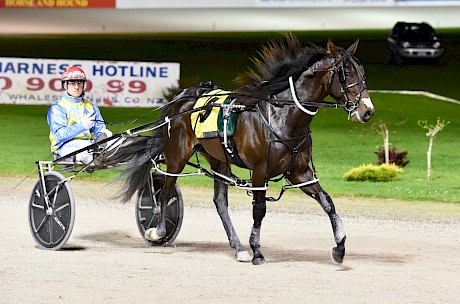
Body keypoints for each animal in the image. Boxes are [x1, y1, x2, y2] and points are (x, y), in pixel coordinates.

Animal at [110, 34, 374, 264]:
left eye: (362, 73)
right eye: (345, 73)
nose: (367, 111)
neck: (282, 116)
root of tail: (182, 97)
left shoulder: (299, 171)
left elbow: (327, 202)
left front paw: (339, 247)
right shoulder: (259, 170)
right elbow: (260, 209)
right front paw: (257, 250)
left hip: (218, 160)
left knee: (219, 202)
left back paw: (238, 247)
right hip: (177, 154)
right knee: (165, 190)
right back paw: (157, 231)